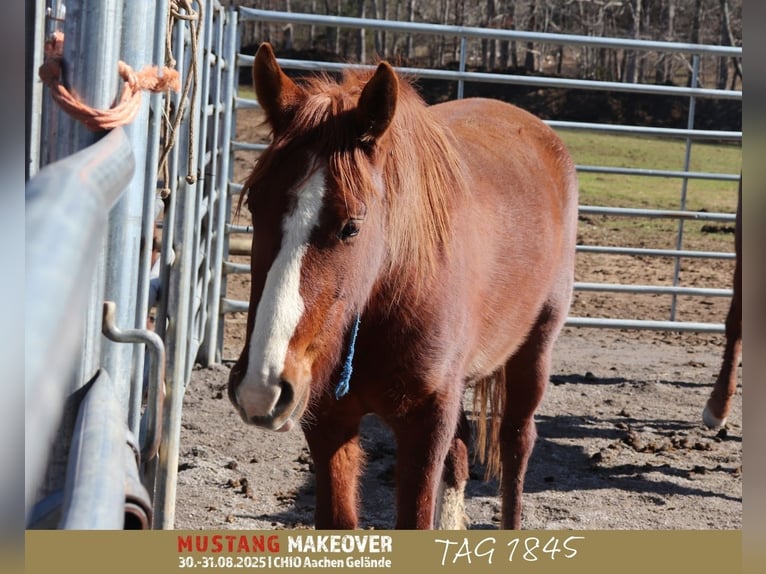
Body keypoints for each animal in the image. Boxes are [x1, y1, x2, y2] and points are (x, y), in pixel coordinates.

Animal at [231, 42, 580, 532]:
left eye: (352, 226)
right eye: (255, 207)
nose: (261, 387)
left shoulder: (424, 424)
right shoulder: (329, 421)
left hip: (534, 351)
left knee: (516, 442)